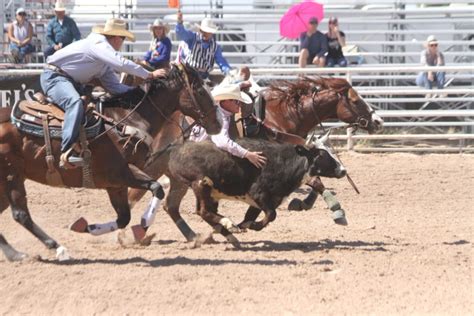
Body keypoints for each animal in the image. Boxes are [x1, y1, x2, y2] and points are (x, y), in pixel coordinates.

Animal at [0, 62, 220, 262]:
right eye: (200, 91)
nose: (217, 123)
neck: (126, 121)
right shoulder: (121, 173)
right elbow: (156, 189)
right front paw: (143, 226)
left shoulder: (116, 184)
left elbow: (124, 217)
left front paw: (88, 227)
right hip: (11, 175)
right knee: (21, 214)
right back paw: (57, 249)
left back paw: (16, 254)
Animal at [128, 76, 384, 242]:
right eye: (355, 100)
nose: (378, 121)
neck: (280, 117)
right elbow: (316, 182)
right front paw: (336, 211)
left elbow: (314, 182)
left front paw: (304, 203)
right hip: (158, 169)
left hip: (179, 179)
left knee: (171, 206)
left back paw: (197, 236)